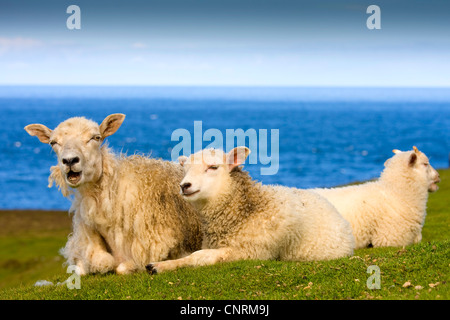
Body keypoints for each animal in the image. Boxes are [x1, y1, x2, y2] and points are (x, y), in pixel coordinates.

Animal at [23, 114, 201, 276]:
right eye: (53, 143)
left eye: (96, 137)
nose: (70, 161)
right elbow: (86, 268)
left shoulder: (150, 250)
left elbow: (121, 268)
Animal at [146, 146, 354, 274]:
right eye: (185, 169)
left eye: (213, 167)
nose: (184, 186)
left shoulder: (253, 252)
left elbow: (201, 256)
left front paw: (160, 266)